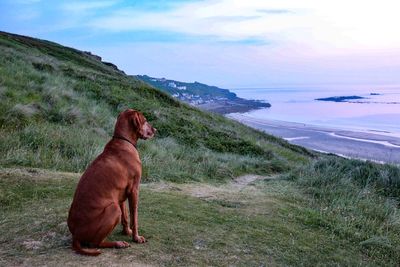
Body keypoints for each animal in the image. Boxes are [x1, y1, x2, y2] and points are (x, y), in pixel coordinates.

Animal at [67, 109, 156, 258]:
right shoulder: (134, 190)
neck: (124, 141)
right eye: (145, 120)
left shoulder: (122, 195)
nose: (155, 130)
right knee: (94, 243)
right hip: (113, 209)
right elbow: (134, 217)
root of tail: (76, 236)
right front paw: (136, 237)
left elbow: (126, 216)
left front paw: (127, 232)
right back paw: (118, 243)